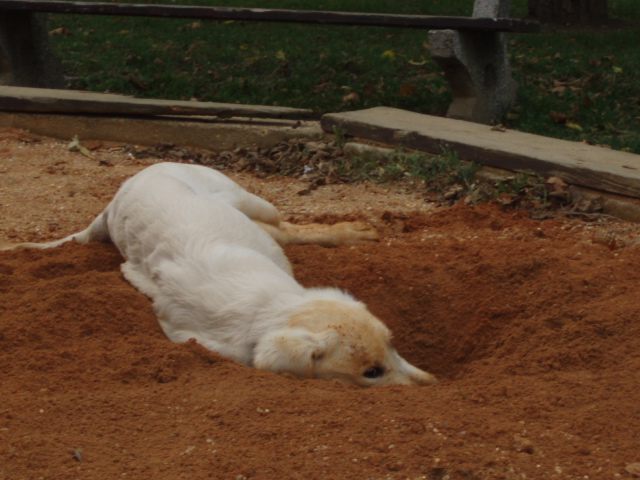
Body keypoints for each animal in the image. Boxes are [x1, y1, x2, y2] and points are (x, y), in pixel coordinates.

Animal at [3, 163, 436, 388]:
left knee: (283, 225)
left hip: (247, 197)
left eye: (395, 344)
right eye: (371, 372)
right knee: (283, 228)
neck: (271, 305)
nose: (432, 385)